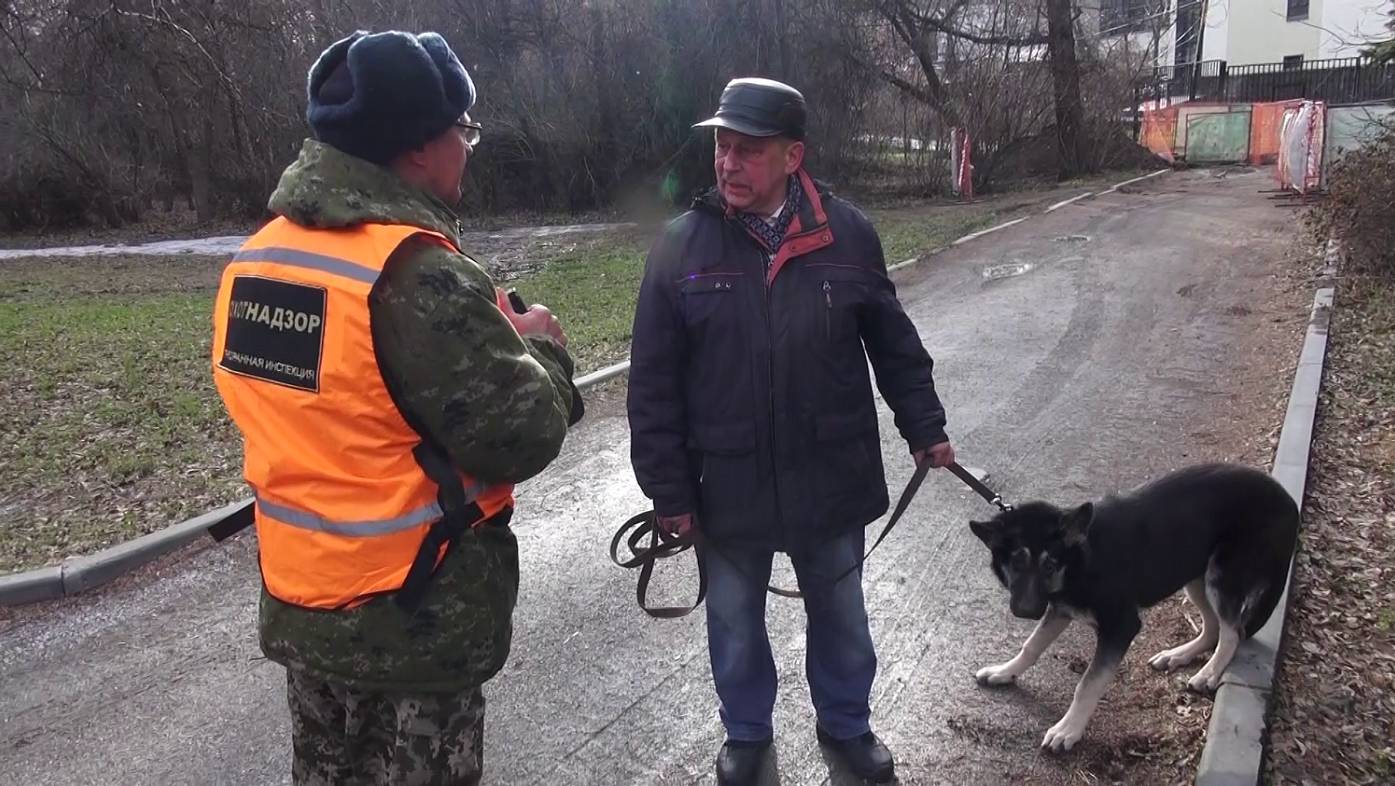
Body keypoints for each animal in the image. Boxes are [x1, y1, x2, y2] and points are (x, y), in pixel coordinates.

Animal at [970, 463, 1294, 753]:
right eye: (1016, 563)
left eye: (1049, 564)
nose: (1025, 611)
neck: (1082, 559)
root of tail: (1287, 501)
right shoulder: (1060, 609)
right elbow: (1031, 646)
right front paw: (1005, 671)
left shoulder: (1120, 626)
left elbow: (1088, 683)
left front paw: (1068, 729)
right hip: (1193, 576)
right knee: (1214, 627)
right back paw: (1177, 655)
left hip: (1221, 576)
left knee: (1232, 633)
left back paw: (1209, 673)